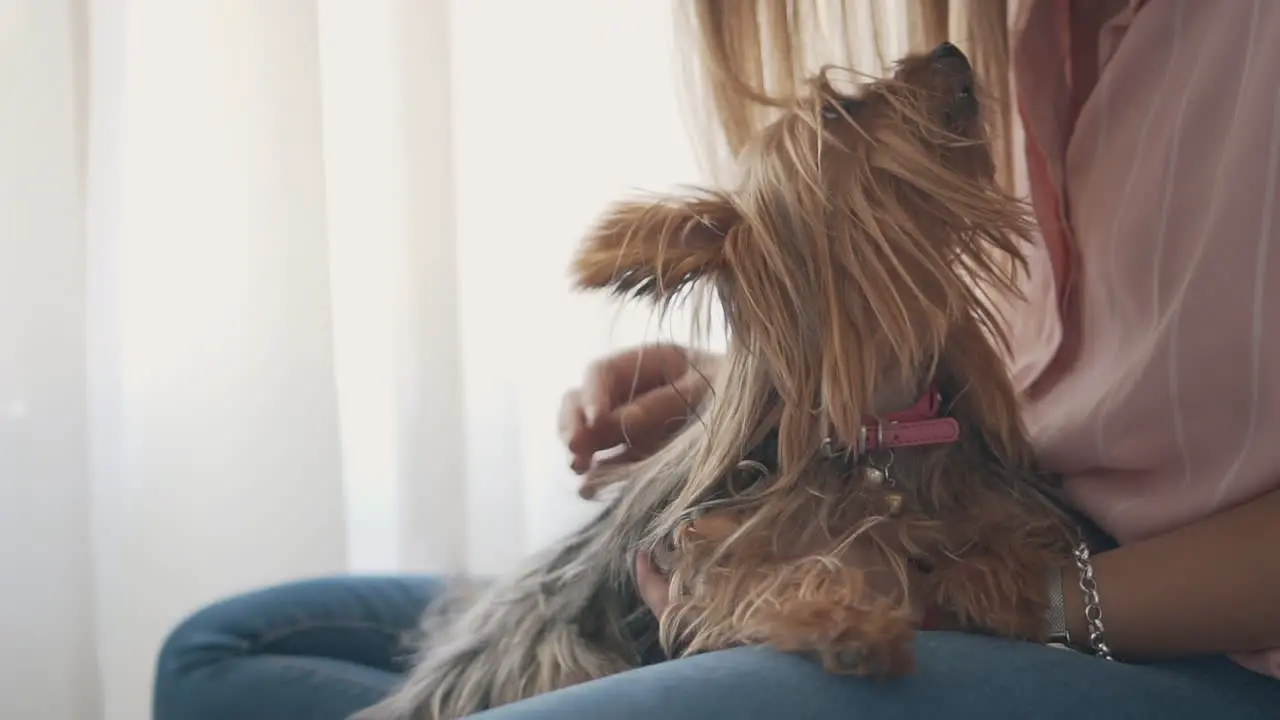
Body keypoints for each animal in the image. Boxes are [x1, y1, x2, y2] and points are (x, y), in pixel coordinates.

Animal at [358, 43, 1080, 717]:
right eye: (838, 112)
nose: (949, 51)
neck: (887, 420)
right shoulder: (713, 547)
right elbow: (773, 574)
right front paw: (850, 625)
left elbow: (991, 532)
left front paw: (1000, 586)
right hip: (556, 646)